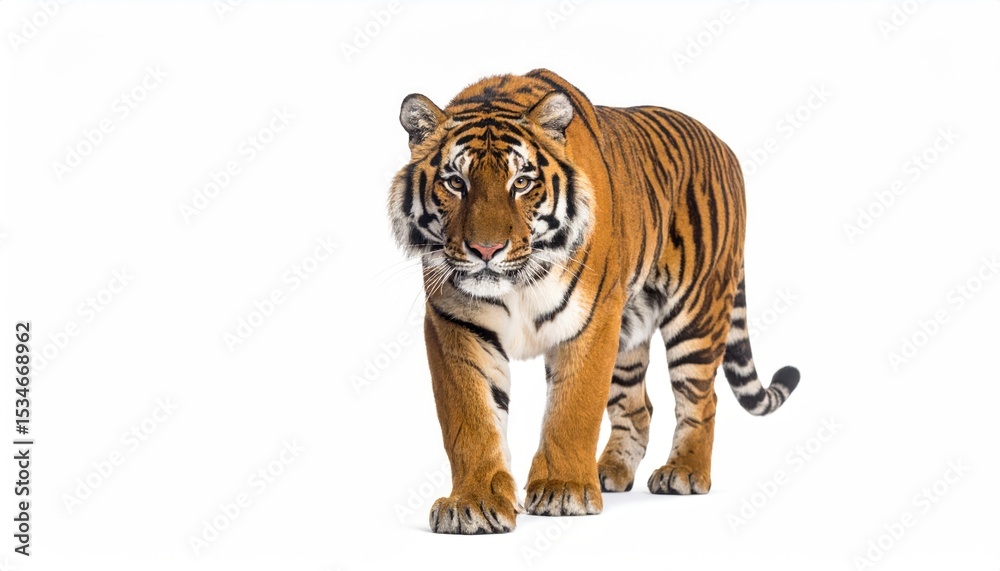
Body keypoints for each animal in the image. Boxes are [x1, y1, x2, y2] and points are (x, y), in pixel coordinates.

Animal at [387, 68, 800, 534]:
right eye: (456, 182)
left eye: (521, 182)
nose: (486, 250)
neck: (516, 282)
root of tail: (723, 145)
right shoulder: (456, 323)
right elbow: (470, 419)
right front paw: (474, 503)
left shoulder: (591, 320)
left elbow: (574, 410)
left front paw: (563, 489)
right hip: (630, 328)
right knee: (639, 407)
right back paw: (609, 472)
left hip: (697, 312)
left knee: (700, 398)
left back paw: (684, 472)